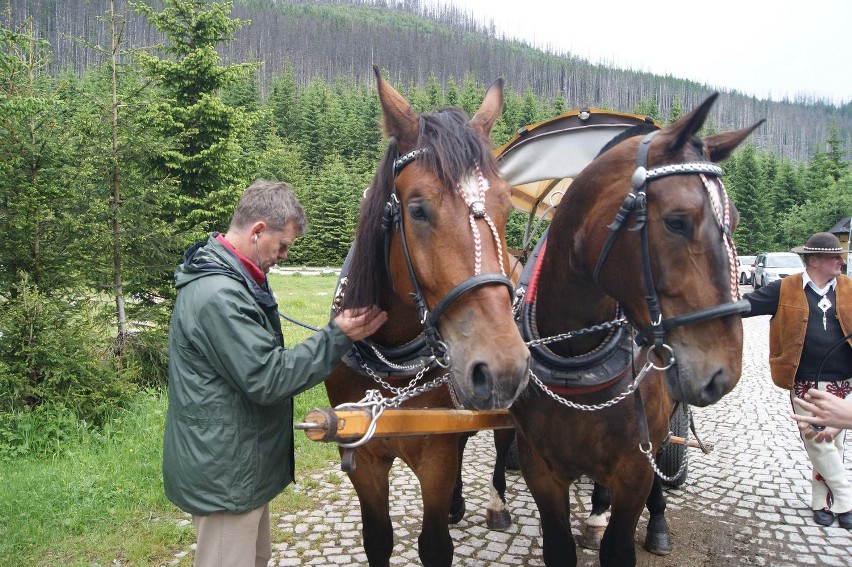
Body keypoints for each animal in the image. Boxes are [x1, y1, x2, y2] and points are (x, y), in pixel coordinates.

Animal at [322, 67, 528, 567]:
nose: (503, 366)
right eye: (417, 209)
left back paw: (495, 504)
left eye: (506, 205)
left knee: (498, 441)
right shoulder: (365, 458)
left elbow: (435, 545)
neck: (391, 363)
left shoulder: (435, 453)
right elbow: (377, 539)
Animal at [502, 95, 764, 564]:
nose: (722, 373)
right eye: (677, 221)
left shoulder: (634, 467)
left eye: (733, 221)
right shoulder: (540, 468)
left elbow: (621, 542)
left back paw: (653, 522)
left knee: (659, 473)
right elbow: (558, 547)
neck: (576, 357)